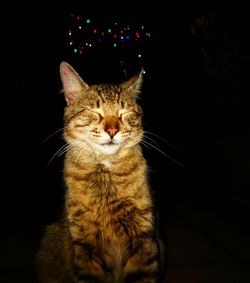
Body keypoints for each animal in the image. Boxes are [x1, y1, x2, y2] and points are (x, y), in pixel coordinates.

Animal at [35, 61, 164, 282]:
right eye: (95, 113)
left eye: (124, 113)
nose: (112, 131)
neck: (105, 169)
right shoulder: (85, 244)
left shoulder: (143, 237)